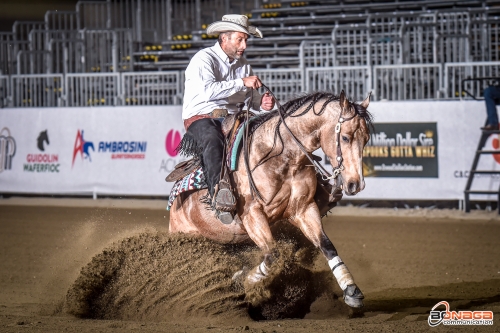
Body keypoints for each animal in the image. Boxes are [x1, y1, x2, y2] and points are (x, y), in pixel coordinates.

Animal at [170, 89, 374, 308]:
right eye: (345, 137)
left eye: (366, 139)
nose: (356, 184)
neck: (280, 155)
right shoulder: (252, 215)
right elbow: (273, 255)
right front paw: (243, 284)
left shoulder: (303, 209)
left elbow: (327, 246)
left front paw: (351, 290)